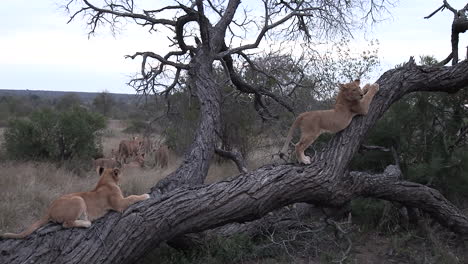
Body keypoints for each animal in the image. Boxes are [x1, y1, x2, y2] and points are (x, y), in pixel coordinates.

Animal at [1, 169, 148, 239]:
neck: (104, 181)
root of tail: (49, 209)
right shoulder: (119, 204)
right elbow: (133, 196)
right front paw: (146, 195)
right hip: (78, 199)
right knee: (67, 224)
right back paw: (87, 223)